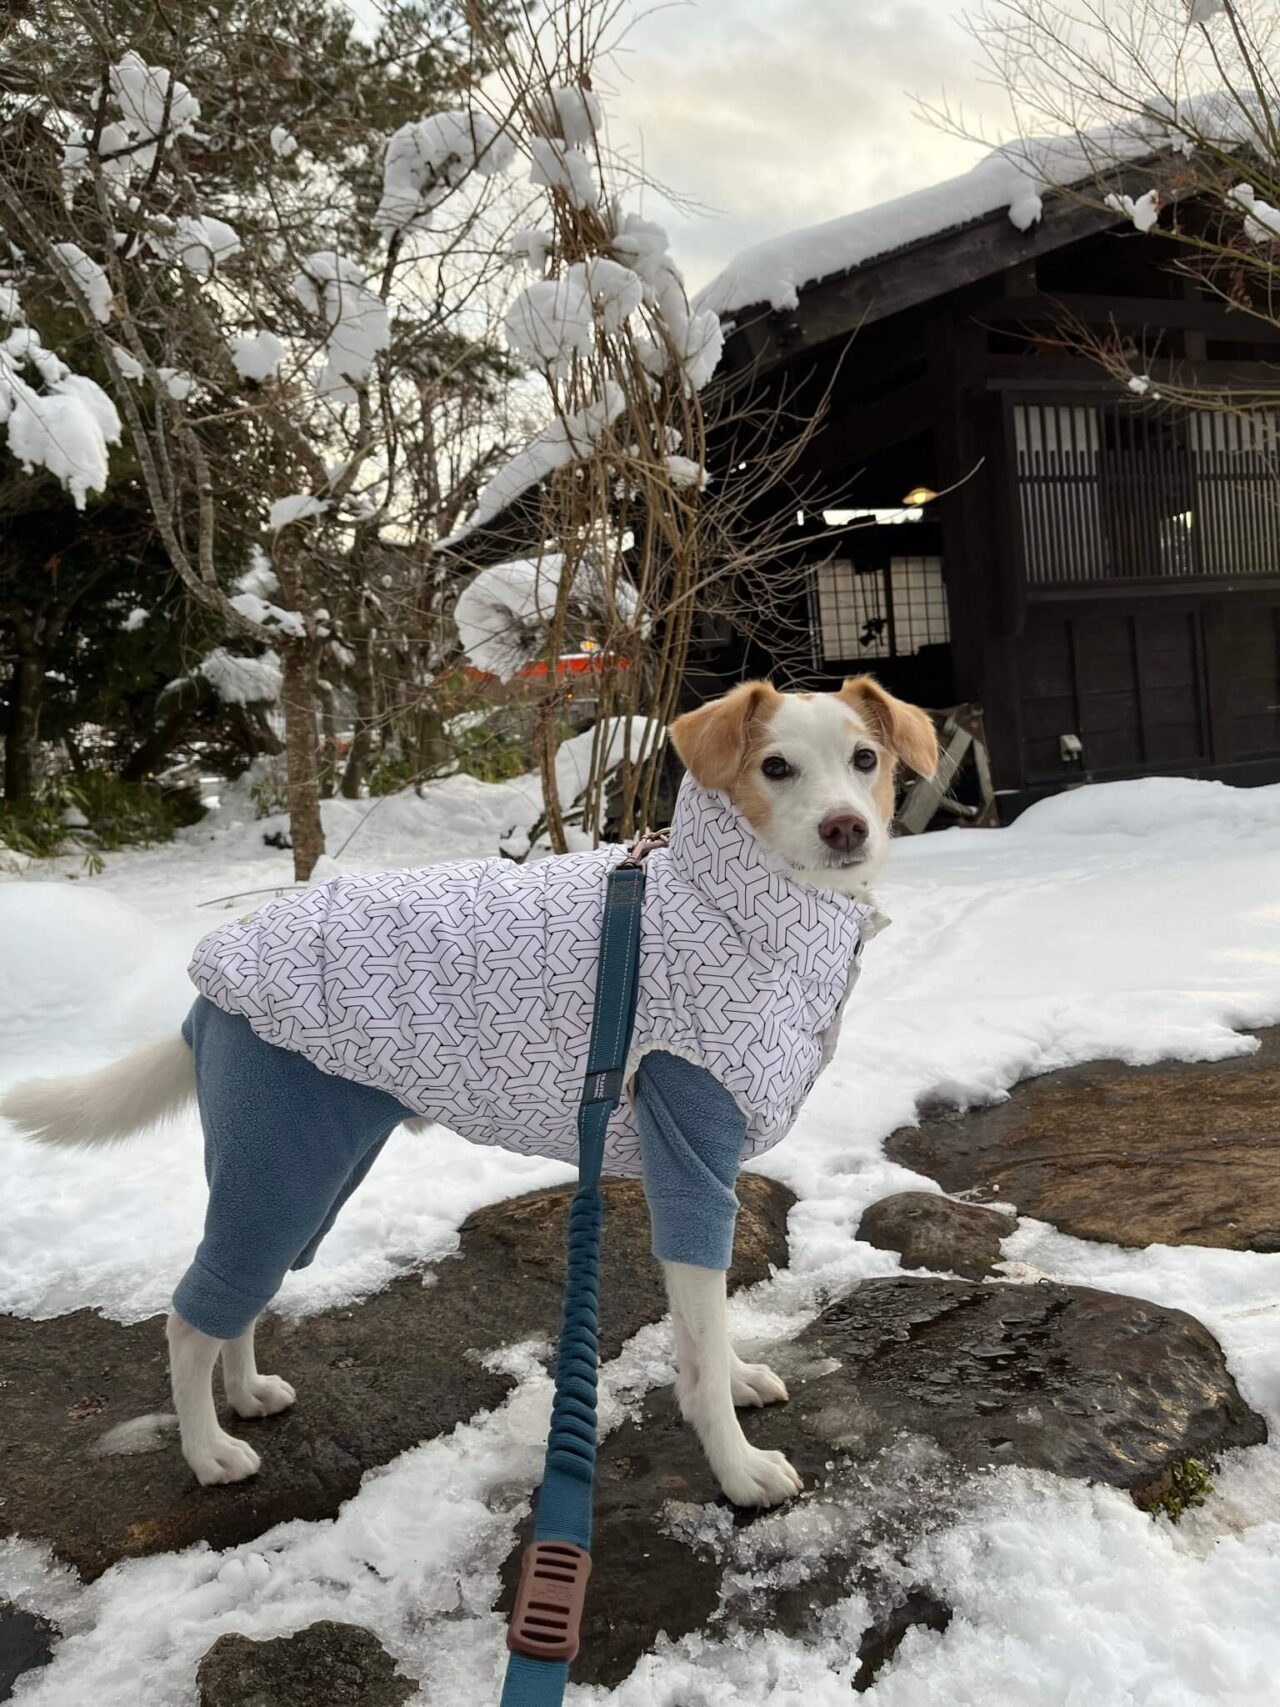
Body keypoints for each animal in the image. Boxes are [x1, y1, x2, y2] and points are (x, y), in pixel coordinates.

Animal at [2, 675, 942, 1508]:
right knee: (190, 1315)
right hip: (280, 1167)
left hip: (301, 1173)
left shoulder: (692, 1176)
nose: (847, 827)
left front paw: (738, 1376)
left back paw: (247, 1395)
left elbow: (698, 1332)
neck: (734, 904)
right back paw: (208, 1451)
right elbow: (702, 1344)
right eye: (776, 766)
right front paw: (739, 1469)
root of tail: (206, 989)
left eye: (865, 757)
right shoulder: (692, 1155)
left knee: (236, 1296)